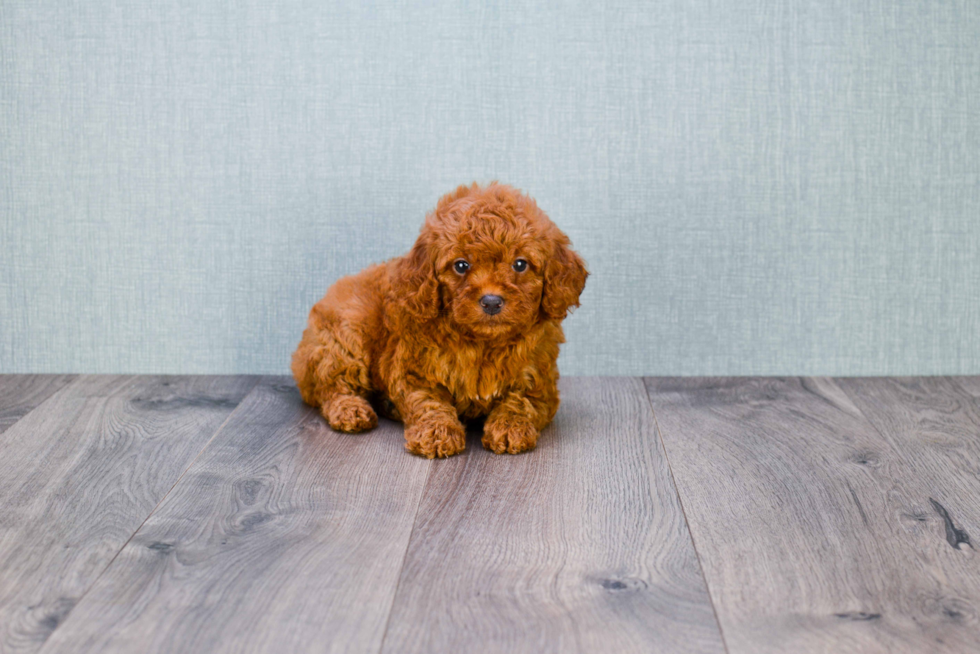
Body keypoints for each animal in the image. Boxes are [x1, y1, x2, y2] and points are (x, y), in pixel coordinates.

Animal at [288, 183, 584, 462]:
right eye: (461, 265)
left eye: (520, 264)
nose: (491, 301)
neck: (482, 343)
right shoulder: (413, 371)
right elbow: (428, 401)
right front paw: (436, 433)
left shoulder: (539, 379)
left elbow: (522, 400)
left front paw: (510, 427)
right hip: (346, 337)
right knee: (330, 385)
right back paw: (350, 409)